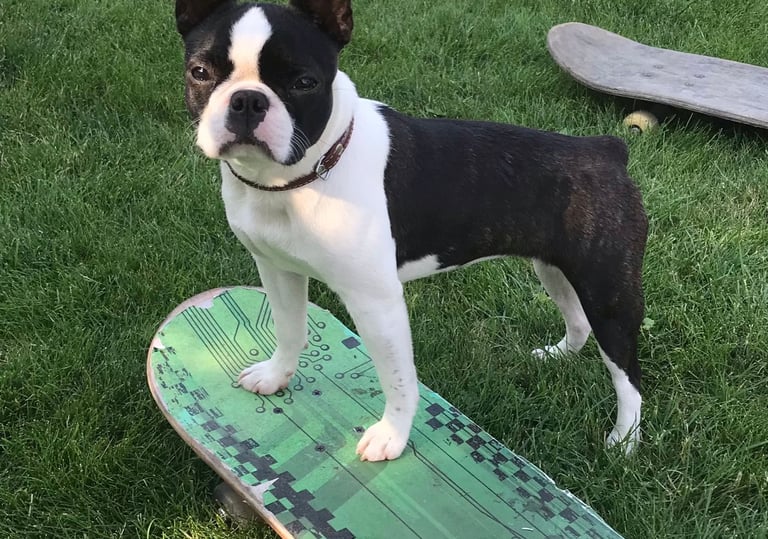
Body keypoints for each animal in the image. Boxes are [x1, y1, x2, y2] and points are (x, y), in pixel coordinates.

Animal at [174, 0, 648, 462]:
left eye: (305, 82)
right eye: (199, 73)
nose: (248, 100)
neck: (300, 177)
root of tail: (606, 150)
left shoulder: (376, 303)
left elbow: (399, 379)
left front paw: (393, 437)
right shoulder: (277, 269)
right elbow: (289, 328)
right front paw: (276, 377)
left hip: (608, 294)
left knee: (627, 375)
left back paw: (624, 441)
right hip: (554, 268)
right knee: (577, 320)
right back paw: (555, 357)